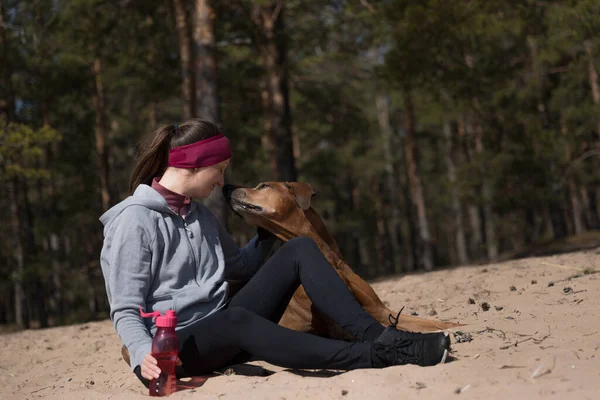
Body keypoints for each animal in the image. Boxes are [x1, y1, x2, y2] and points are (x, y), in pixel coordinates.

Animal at [223, 182, 462, 338]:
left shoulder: (381, 310)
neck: (328, 259)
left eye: (263, 185)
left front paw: (456, 325)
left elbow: (430, 322)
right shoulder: (339, 325)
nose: (226, 186)